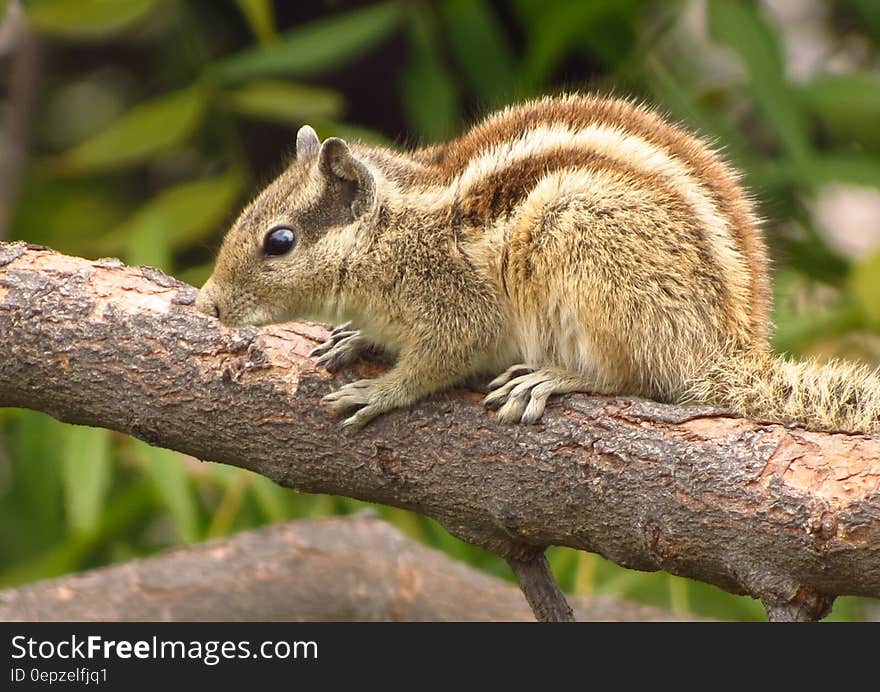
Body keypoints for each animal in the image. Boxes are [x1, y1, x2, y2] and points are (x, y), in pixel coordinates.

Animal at [196, 91, 880, 428]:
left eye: (279, 241)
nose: (208, 304)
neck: (394, 231)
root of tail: (730, 352)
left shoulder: (455, 305)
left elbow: (444, 357)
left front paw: (384, 390)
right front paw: (350, 339)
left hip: (585, 251)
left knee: (637, 378)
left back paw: (553, 377)